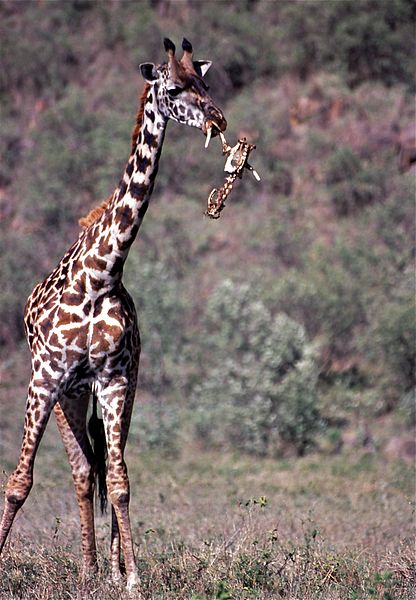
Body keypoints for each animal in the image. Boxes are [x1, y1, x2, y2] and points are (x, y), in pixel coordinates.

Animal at [0, 37, 226, 592]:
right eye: (173, 88)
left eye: (205, 82)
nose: (218, 119)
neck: (100, 274)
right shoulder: (45, 377)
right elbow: (19, 482)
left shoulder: (116, 379)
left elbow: (121, 482)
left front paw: (132, 578)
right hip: (65, 395)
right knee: (81, 470)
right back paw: (87, 567)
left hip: (106, 391)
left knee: (96, 468)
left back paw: (99, 567)